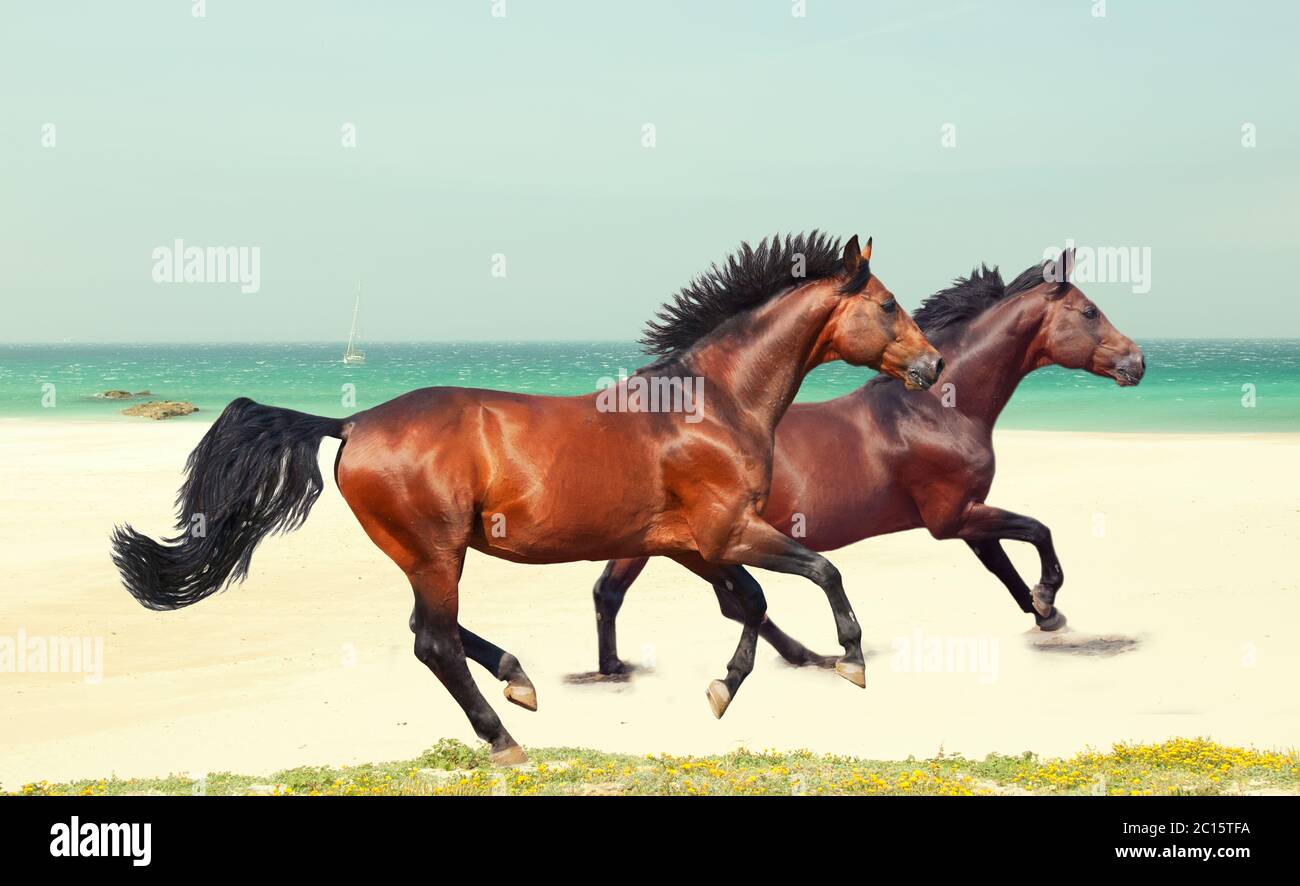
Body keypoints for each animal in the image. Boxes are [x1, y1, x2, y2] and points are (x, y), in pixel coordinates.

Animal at [111, 231, 943, 764]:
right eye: (889, 304)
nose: (933, 365)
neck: (709, 403)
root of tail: (349, 422)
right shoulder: (728, 531)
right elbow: (820, 572)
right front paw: (850, 659)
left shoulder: (690, 545)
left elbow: (751, 604)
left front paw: (726, 687)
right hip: (436, 552)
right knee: (433, 641)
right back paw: (506, 737)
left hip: (425, 555)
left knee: (432, 632)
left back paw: (519, 680)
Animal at [586, 252, 1146, 678]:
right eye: (1090, 311)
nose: (1137, 362)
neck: (936, 411)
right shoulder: (953, 517)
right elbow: (1037, 531)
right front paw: (1049, 598)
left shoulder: (967, 515)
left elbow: (1004, 568)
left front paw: (1046, 614)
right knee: (654, 595)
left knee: (635, 593)